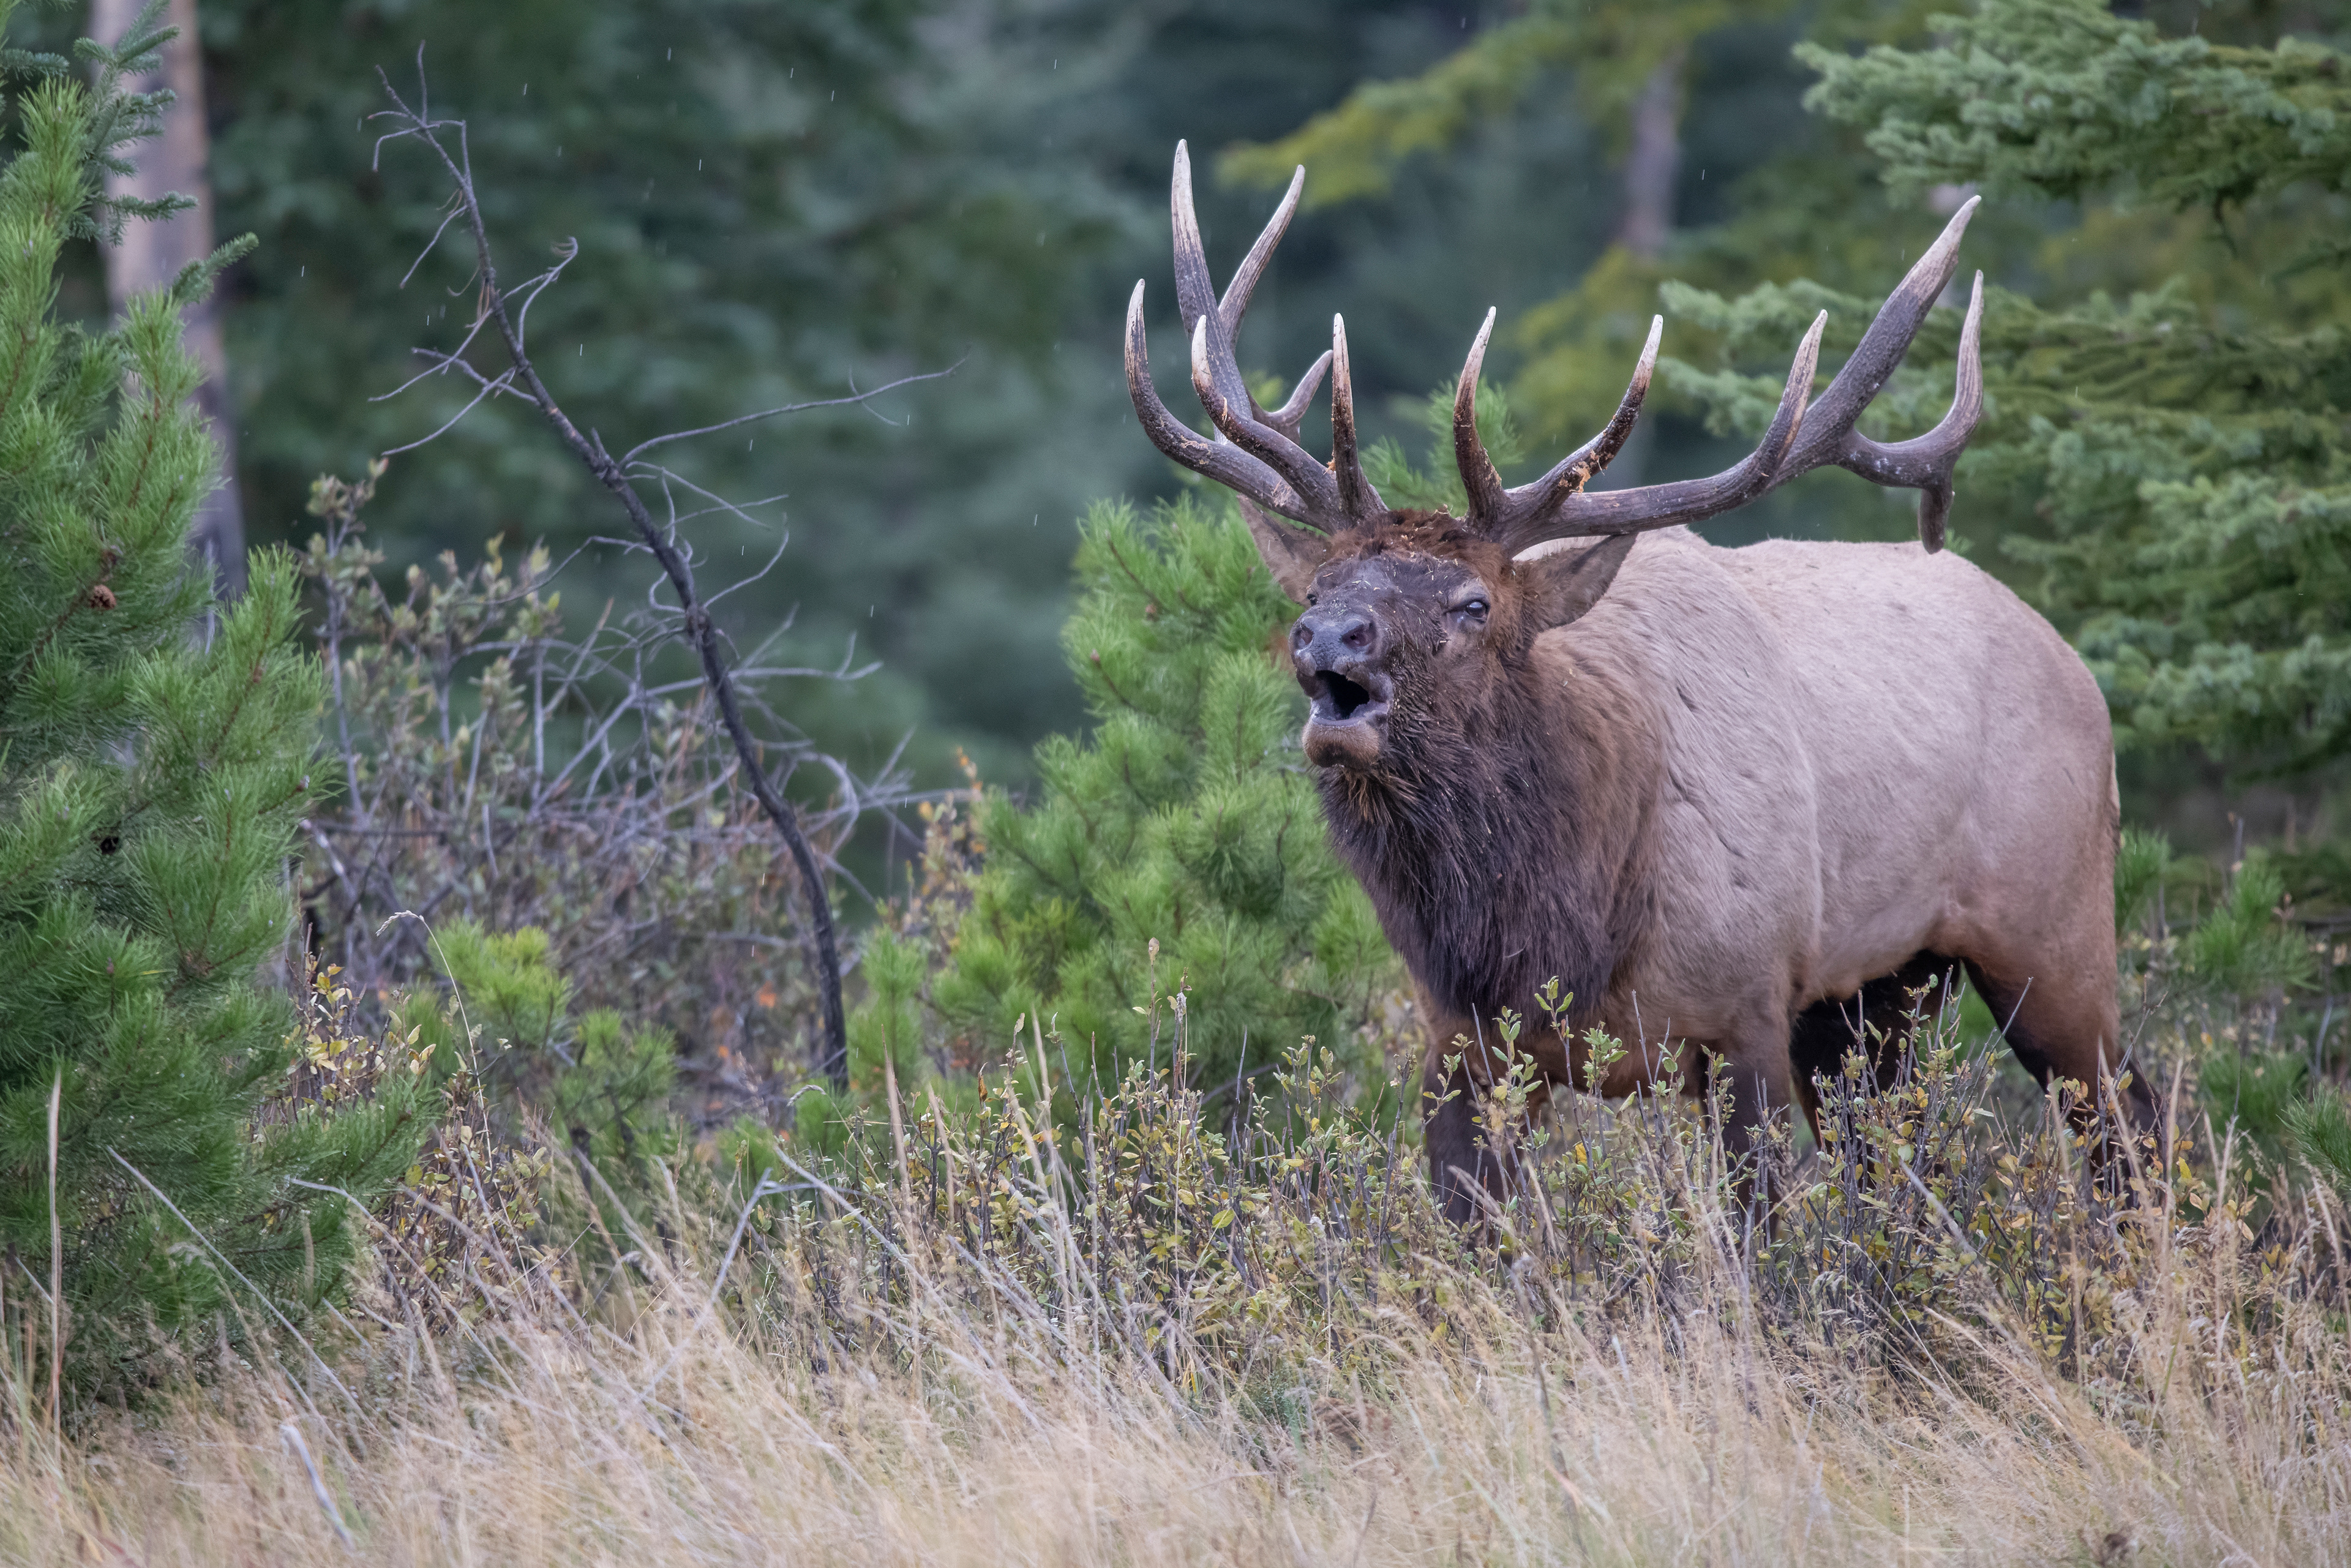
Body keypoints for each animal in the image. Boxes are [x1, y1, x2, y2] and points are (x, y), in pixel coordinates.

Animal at [1124, 143, 2157, 1222]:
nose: (1329, 635)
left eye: (1473, 604)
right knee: (1896, 1159)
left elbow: (1757, 1227)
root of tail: (2074, 663)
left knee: (2129, 1117)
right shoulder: (1462, 1037)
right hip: (1873, 994)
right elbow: (1463, 1224)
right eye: (1320, 585)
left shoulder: (1745, 1004)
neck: (1558, 922)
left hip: (2053, 926)